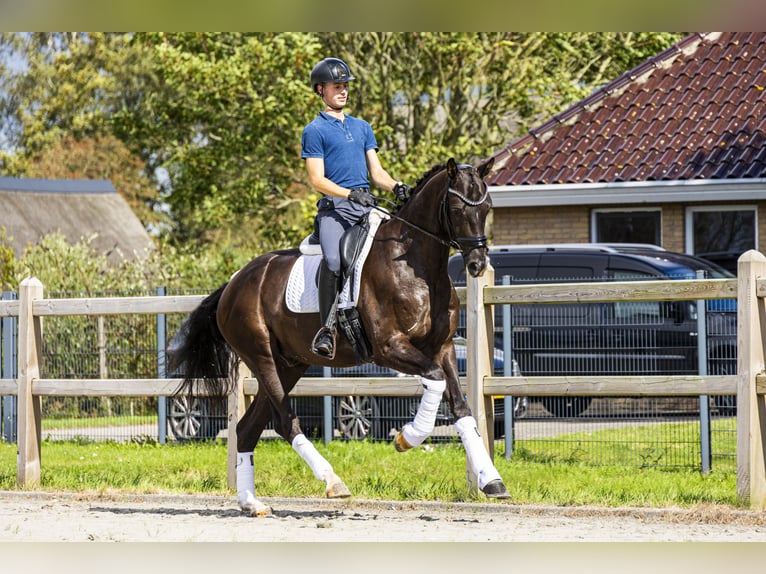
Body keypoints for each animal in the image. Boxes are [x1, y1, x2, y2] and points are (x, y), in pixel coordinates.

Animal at [172, 158, 512, 516]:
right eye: (458, 208)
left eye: (487, 207)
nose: (477, 264)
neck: (417, 268)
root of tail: (234, 283)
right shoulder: (389, 347)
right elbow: (434, 379)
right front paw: (408, 437)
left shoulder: (441, 348)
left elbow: (461, 407)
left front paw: (492, 481)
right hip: (262, 357)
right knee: (285, 421)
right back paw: (332, 482)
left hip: (288, 364)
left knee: (247, 429)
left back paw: (252, 502)